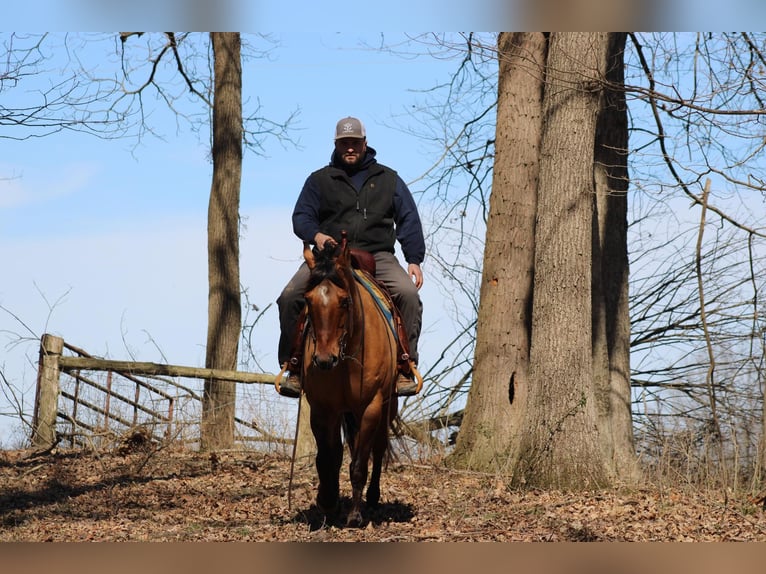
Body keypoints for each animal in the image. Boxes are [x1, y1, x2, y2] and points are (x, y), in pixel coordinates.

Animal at [300, 235, 400, 532]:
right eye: (307, 300)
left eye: (344, 301)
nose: (324, 359)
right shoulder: (323, 409)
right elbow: (327, 458)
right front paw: (327, 503)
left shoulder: (371, 407)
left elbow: (358, 465)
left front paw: (354, 516)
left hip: (387, 406)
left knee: (377, 448)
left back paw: (372, 498)